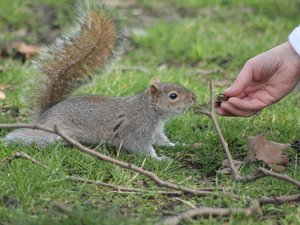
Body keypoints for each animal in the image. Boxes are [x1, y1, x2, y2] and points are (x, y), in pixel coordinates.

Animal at [3, 0, 196, 160]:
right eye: (173, 96)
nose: (194, 98)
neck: (150, 110)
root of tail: (45, 113)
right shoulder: (136, 129)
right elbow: (141, 148)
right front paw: (160, 159)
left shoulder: (156, 132)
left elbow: (164, 142)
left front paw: (180, 144)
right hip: (53, 132)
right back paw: (9, 140)